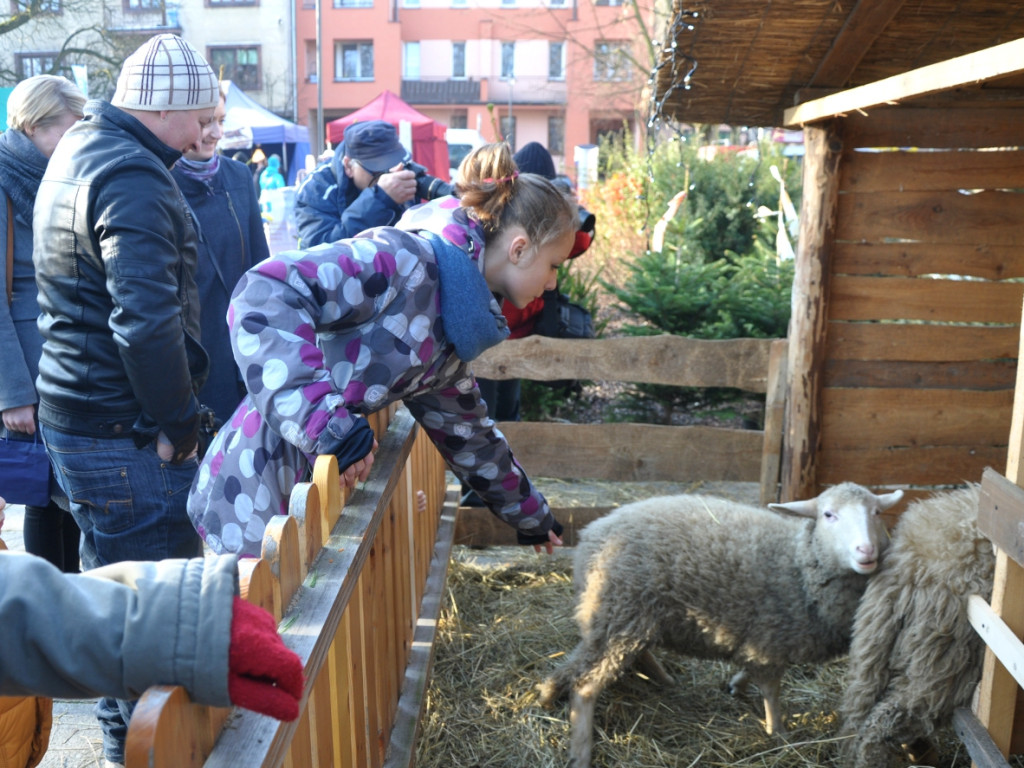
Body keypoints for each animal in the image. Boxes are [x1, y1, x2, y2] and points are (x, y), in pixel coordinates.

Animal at [540, 483, 901, 765]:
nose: (866, 550)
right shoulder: (769, 638)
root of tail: (590, 536)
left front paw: (736, 684)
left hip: (625, 618)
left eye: (876, 513)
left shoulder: (763, 642)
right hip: (622, 612)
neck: (798, 563)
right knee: (585, 686)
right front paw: (778, 732)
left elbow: (753, 673)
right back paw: (581, 752)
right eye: (828, 515)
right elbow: (771, 691)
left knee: (616, 657)